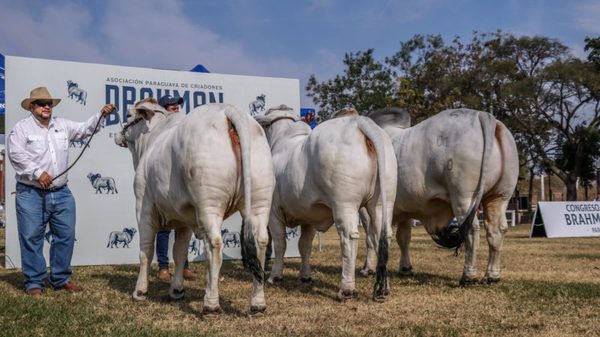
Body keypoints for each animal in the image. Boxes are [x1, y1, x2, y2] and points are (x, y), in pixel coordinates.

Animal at [115, 99, 274, 316]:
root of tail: (228, 110)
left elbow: (146, 250)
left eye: (129, 115)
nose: (118, 135)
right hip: (260, 201)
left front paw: (140, 291)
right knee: (261, 242)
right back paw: (258, 304)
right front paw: (177, 290)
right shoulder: (184, 220)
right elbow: (180, 253)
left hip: (209, 204)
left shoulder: (144, 208)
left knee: (214, 244)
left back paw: (211, 305)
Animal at [254, 104, 398, 300]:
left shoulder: (274, 212)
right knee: (382, 236)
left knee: (349, 237)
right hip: (382, 203)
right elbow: (304, 245)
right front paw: (305, 276)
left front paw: (275, 276)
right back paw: (383, 289)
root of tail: (358, 122)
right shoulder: (309, 215)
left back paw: (346, 289)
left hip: (344, 203)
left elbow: (280, 243)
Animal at [364, 106, 516, 284]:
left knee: (472, 231)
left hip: (464, 198)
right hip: (500, 197)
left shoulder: (369, 208)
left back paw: (468, 276)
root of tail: (482, 115)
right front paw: (405, 268)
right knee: (496, 230)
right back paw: (492, 276)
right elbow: (403, 238)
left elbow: (371, 238)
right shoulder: (405, 209)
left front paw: (368, 269)